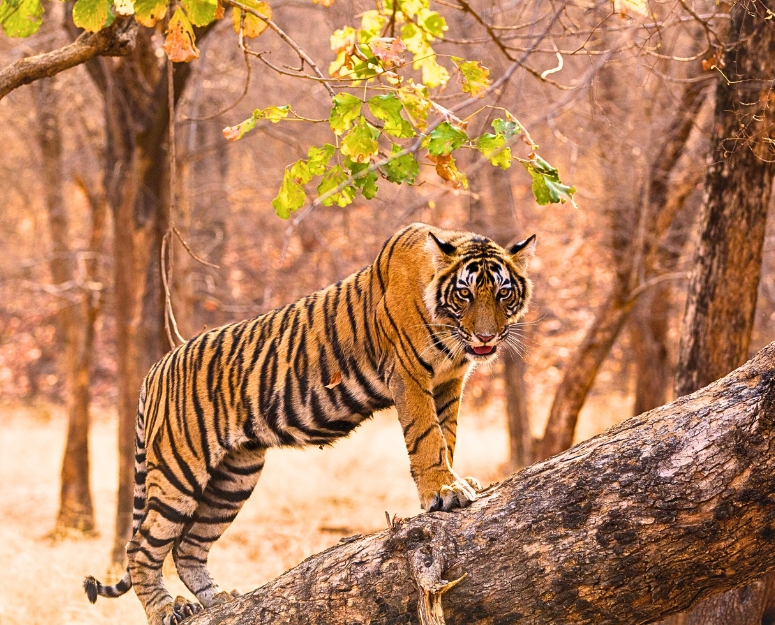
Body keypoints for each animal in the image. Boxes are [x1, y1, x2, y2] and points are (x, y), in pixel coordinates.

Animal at [83, 222, 536, 625]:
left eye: (503, 293)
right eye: (464, 293)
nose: (486, 337)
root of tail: (155, 369)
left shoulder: (448, 381)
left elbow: (448, 434)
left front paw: (455, 482)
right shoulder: (409, 375)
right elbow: (427, 437)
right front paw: (444, 491)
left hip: (234, 479)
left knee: (189, 548)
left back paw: (220, 600)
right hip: (180, 471)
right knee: (141, 548)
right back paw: (166, 609)